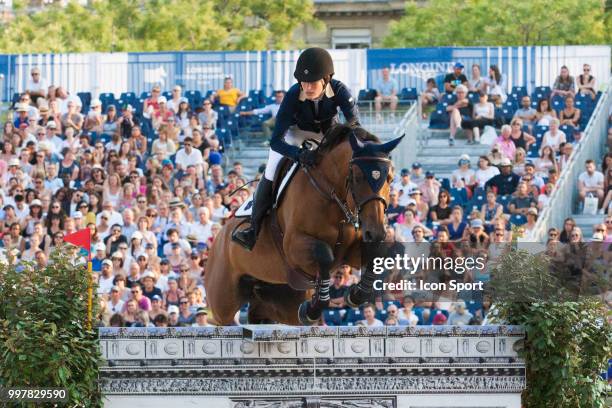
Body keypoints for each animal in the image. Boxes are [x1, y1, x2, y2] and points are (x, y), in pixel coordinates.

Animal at [206, 124, 404, 326]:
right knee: (223, 319)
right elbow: (324, 255)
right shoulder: (294, 247)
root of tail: (218, 239)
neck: (331, 195)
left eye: (389, 178)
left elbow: (380, 253)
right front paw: (313, 310)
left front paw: (355, 294)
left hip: (280, 302)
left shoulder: (350, 252)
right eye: (357, 177)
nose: (376, 232)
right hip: (223, 302)